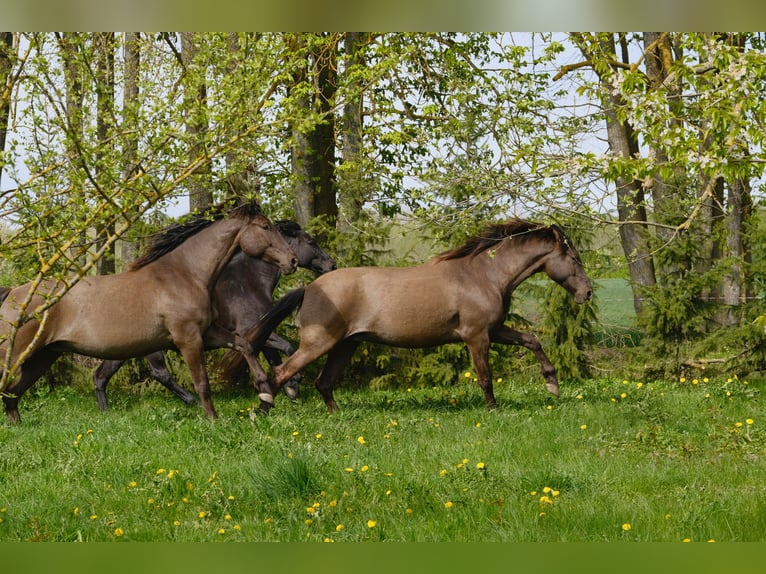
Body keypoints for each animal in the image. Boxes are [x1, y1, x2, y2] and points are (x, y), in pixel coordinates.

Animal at [0, 200, 298, 426]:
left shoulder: (209, 333)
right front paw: (213, 419)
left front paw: (265, 396)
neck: (185, 275)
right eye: (265, 227)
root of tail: (14, 294)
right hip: (16, 354)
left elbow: (245, 345)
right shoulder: (188, 339)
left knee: (13, 393)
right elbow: (202, 382)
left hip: (44, 356)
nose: (292, 260)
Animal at [91, 218, 336, 412]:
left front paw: (281, 390)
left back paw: (106, 412)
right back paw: (192, 401)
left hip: (125, 347)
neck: (249, 282)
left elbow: (273, 357)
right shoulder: (250, 330)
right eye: (311, 242)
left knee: (101, 375)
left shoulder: (261, 330)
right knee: (159, 373)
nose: (331, 264)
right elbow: (286, 347)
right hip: (151, 347)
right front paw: (293, 386)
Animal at [238, 220, 592, 414]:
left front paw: (552, 384)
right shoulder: (476, 335)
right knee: (283, 372)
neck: (484, 275)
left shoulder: (495, 329)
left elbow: (532, 340)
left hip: (346, 344)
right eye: (574, 259)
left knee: (324, 382)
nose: (587, 293)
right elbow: (485, 375)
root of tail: (310, 287)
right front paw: (493, 410)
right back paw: (263, 409)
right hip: (318, 343)